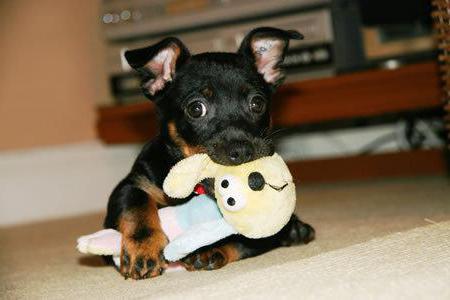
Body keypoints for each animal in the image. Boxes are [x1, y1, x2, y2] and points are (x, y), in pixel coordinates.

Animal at [103, 27, 314, 280]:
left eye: (257, 103)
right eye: (196, 108)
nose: (242, 150)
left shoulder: (264, 230)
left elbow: (242, 238)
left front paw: (209, 249)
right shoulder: (131, 185)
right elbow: (136, 207)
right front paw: (143, 249)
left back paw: (297, 229)